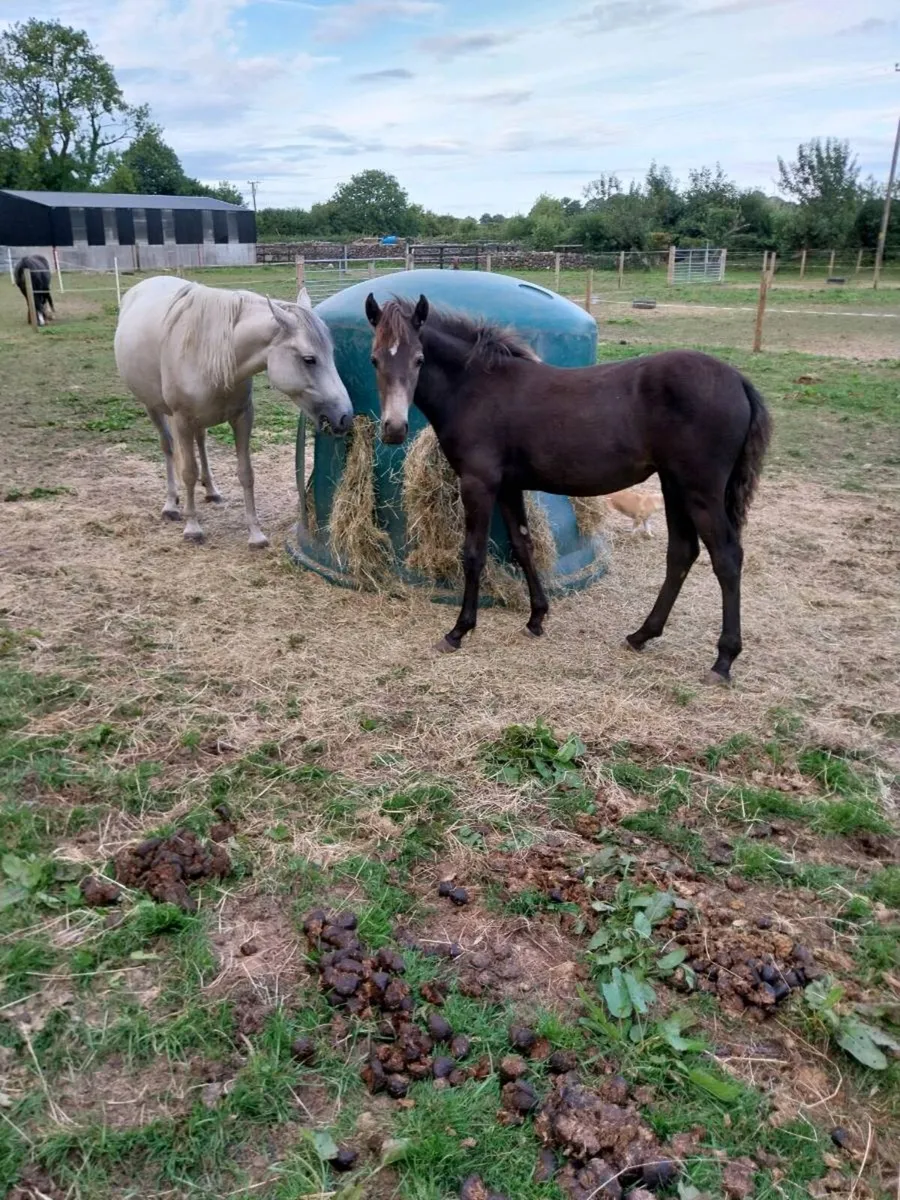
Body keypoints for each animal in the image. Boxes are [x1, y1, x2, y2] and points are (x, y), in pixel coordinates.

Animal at [115, 276, 353, 547]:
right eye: (309, 359)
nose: (344, 416)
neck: (206, 351)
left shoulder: (242, 418)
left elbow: (246, 473)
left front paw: (255, 533)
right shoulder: (182, 420)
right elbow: (188, 472)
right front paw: (193, 527)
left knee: (201, 442)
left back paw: (211, 490)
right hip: (154, 408)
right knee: (168, 448)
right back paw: (171, 504)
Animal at [365, 293, 772, 683]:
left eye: (419, 359)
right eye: (374, 360)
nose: (394, 429)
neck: (478, 388)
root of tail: (737, 380)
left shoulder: (479, 484)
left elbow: (473, 555)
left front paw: (458, 631)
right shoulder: (508, 487)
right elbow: (523, 545)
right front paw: (536, 618)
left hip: (700, 490)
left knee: (726, 557)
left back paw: (723, 660)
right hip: (674, 486)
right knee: (681, 553)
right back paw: (641, 635)